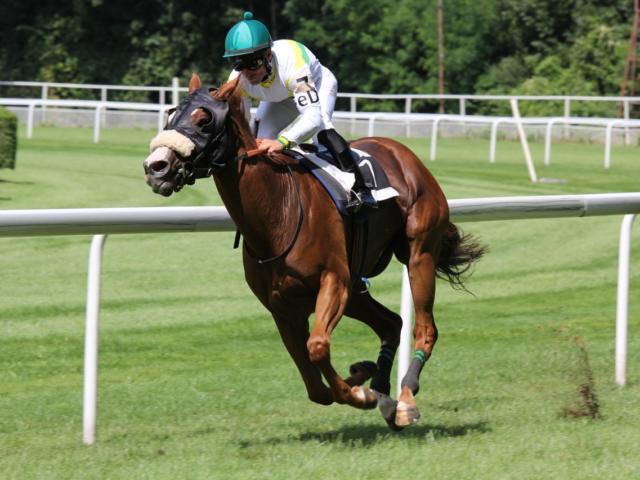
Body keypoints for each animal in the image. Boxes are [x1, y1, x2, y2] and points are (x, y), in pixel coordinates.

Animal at [143, 74, 485, 430]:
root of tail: (402, 152)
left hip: (419, 254)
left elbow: (317, 347)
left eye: (204, 120)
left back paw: (404, 399)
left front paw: (360, 393)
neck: (277, 212)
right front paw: (363, 379)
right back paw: (383, 393)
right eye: (170, 115)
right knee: (392, 323)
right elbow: (314, 385)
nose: (156, 167)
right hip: (357, 289)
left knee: (425, 328)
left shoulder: (334, 281)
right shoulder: (282, 307)